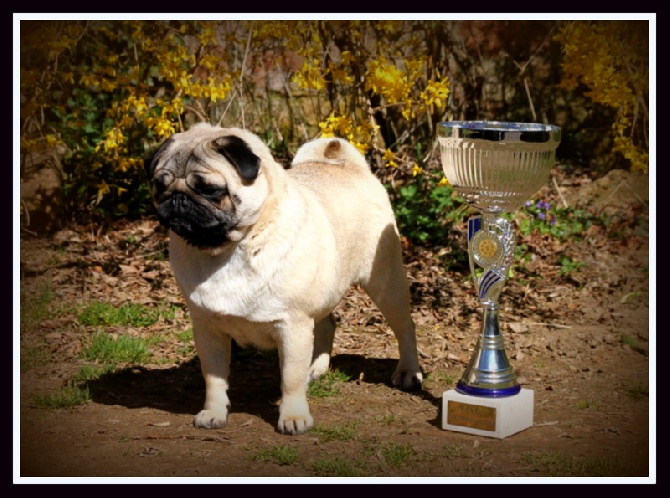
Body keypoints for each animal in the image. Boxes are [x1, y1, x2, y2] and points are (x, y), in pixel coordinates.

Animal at [146, 122, 422, 434]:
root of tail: (348, 165)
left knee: (405, 328)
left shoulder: (292, 325)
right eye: (159, 185)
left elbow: (290, 378)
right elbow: (214, 379)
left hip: (385, 282)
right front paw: (213, 412)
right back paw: (316, 367)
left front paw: (293, 416)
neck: (230, 249)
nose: (176, 197)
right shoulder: (208, 328)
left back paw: (409, 373)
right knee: (327, 324)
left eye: (209, 189)